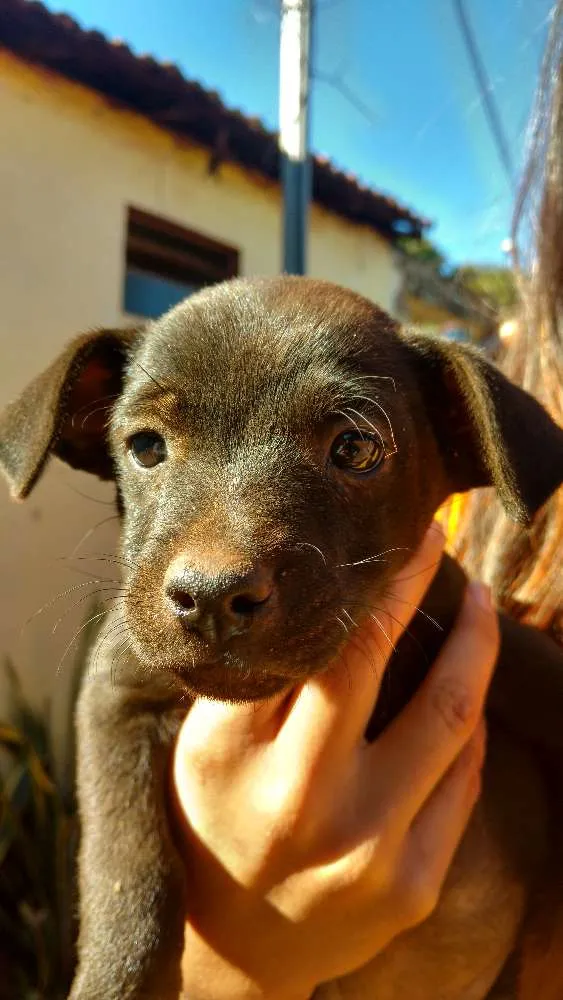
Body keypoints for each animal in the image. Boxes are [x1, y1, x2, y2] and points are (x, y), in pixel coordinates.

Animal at [1, 276, 563, 1000]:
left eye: (355, 449)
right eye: (146, 447)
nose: (213, 595)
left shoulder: (504, 647)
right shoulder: (116, 701)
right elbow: (130, 873)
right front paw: (115, 981)